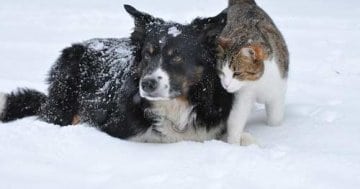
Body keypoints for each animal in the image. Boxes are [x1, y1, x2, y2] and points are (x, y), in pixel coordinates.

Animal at [217, 0, 290, 145]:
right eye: (222, 72)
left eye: (237, 73)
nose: (226, 85)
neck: (258, 82)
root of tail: (243, 3)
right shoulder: (243, 96)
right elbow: (236, 119)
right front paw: (233, 144)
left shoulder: (277, 91)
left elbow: (275, 119)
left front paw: (276, 131)